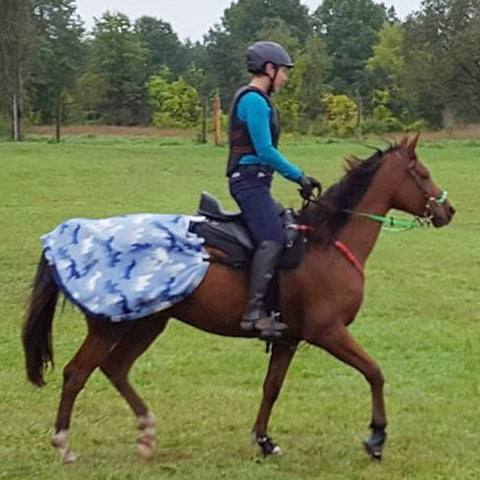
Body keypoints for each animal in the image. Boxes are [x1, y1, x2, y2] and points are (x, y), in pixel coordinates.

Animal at [22, 134, 456, 462]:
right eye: (423, 173)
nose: (449, 209)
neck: (325, 243)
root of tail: (73, 235)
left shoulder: (288, 339)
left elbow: (271, 388)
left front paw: (264, 440)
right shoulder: (328, 332)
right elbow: (374, 373)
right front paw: (376, 437)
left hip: (149, 322)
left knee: (116, 368)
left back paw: (146, 432)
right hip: (110, 327)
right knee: (77, 373)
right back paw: (63, 444)